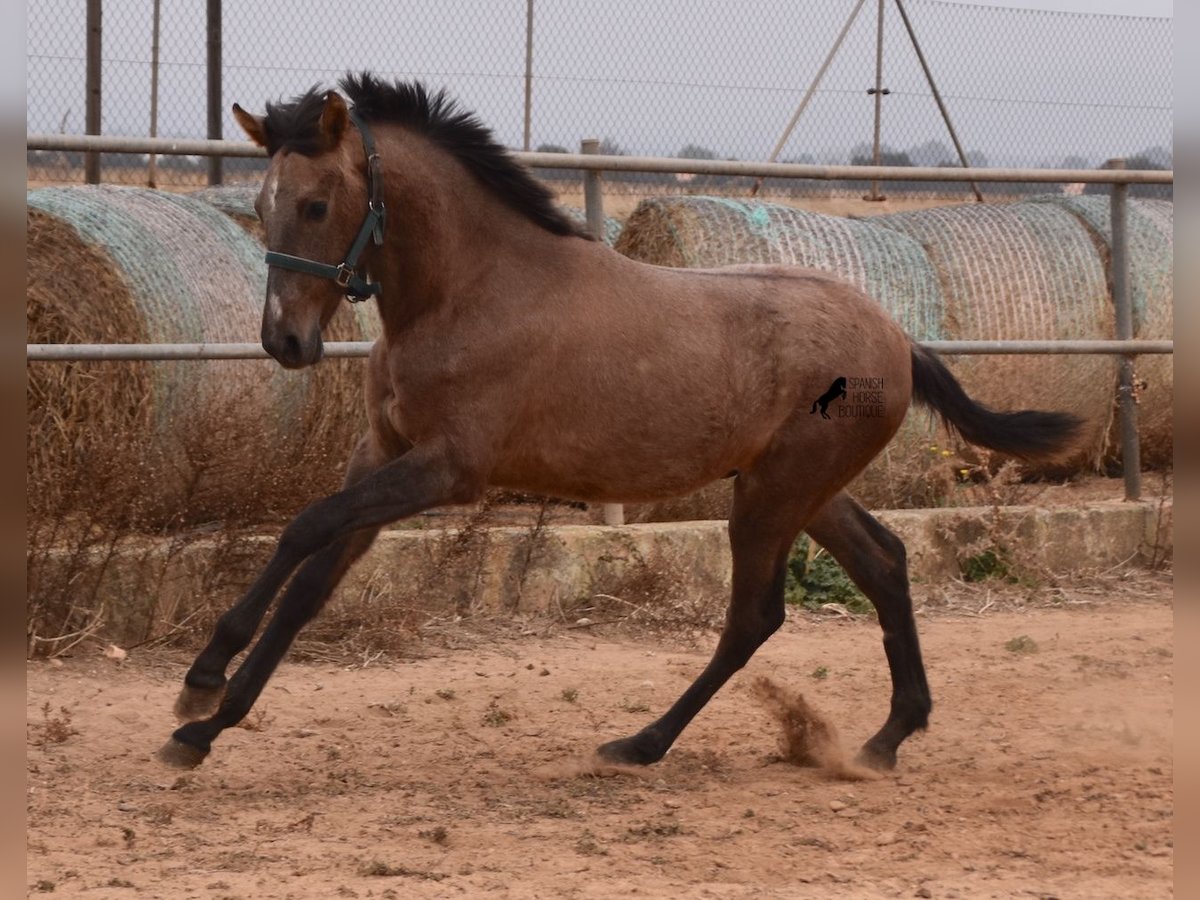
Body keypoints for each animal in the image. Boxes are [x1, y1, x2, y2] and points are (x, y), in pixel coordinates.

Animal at [154, 72, 1084, 777]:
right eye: (260, 202)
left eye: (314, 206)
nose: (284, 341)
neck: (468, 292)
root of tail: (898, 336)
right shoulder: (379, 454)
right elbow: (311, 573)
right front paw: (203, 721)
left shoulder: (447, 469)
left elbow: (306, 529)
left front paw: (201, 684)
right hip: (802, 488)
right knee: (886, 564)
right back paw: (886, 739)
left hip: (776, 495)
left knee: (755, 617)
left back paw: (643, 744)